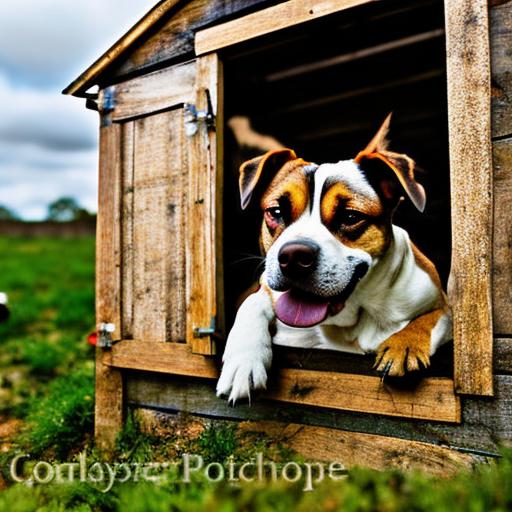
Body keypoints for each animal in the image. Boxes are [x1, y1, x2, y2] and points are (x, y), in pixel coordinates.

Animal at [218, 115, 450, 404]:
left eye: (350, 216)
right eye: (276, 211)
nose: (294, 256)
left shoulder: (443, 304)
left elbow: (430, 319)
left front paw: (404, 345)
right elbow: (253, 303)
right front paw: (243, 362)